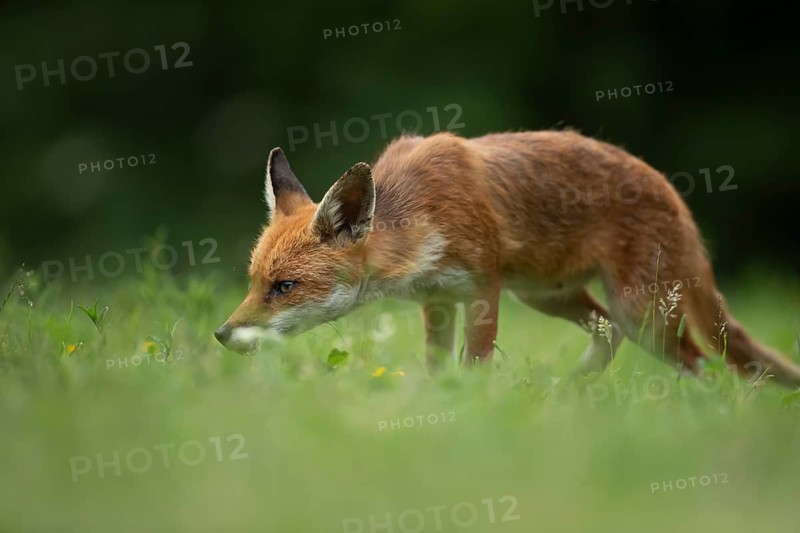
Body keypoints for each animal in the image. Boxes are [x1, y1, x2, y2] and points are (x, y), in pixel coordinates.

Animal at [214, 130, 800, 387]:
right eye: (254, 281)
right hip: (549, 298)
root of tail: (672, 191)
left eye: (284, 287)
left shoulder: (483, 289)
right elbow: (437, 367)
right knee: (609, 335)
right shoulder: (437, 302)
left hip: (643, 314)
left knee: (705, 365)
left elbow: (474, 363)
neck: (423, 218)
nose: (221, 334)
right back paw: (568, 391)